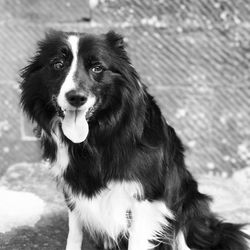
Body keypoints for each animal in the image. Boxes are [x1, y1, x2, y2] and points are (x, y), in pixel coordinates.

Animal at [20, 30, 250, 250]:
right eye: (58, 64)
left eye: (97, 68)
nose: (76, 97)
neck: (97, 136)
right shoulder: (73, 190)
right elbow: (74, 235)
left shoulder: (146, 196)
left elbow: (138, 240)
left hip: (189, 202)